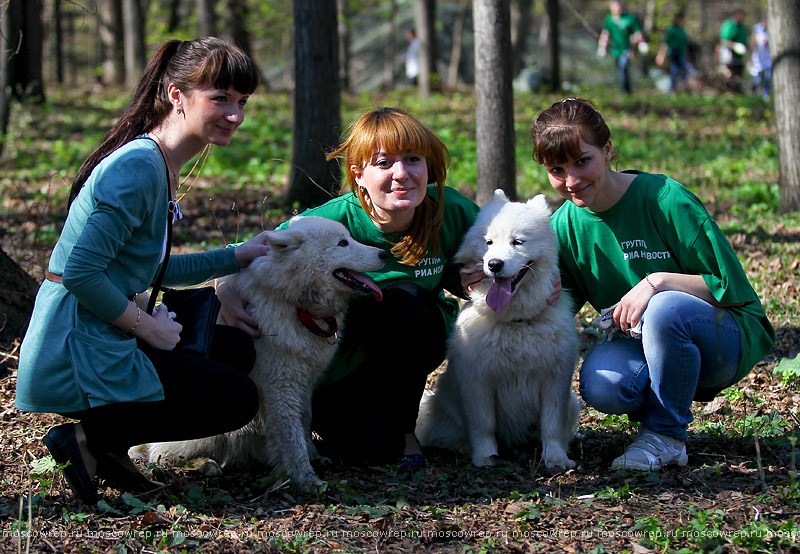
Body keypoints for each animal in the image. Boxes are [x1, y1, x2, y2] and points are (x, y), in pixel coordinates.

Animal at [132, 215, 388, 484]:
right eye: (342, 243)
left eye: (349, 238)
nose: (383, 254)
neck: (295, 301)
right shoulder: (280, 386)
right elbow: (291, 434)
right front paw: (305, 477)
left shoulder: (305, 382)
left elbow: (303, 421)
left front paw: (313, 457)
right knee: (162, 454)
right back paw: (204, 464)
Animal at [416, 190, 580, 466]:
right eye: (489, 242)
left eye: (518, 242)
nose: (494, 264)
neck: (516, 324)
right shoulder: (478, 381)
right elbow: (484, 425)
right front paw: (485, 457)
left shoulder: (555, 380)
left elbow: (552, 426)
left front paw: (556, 459)